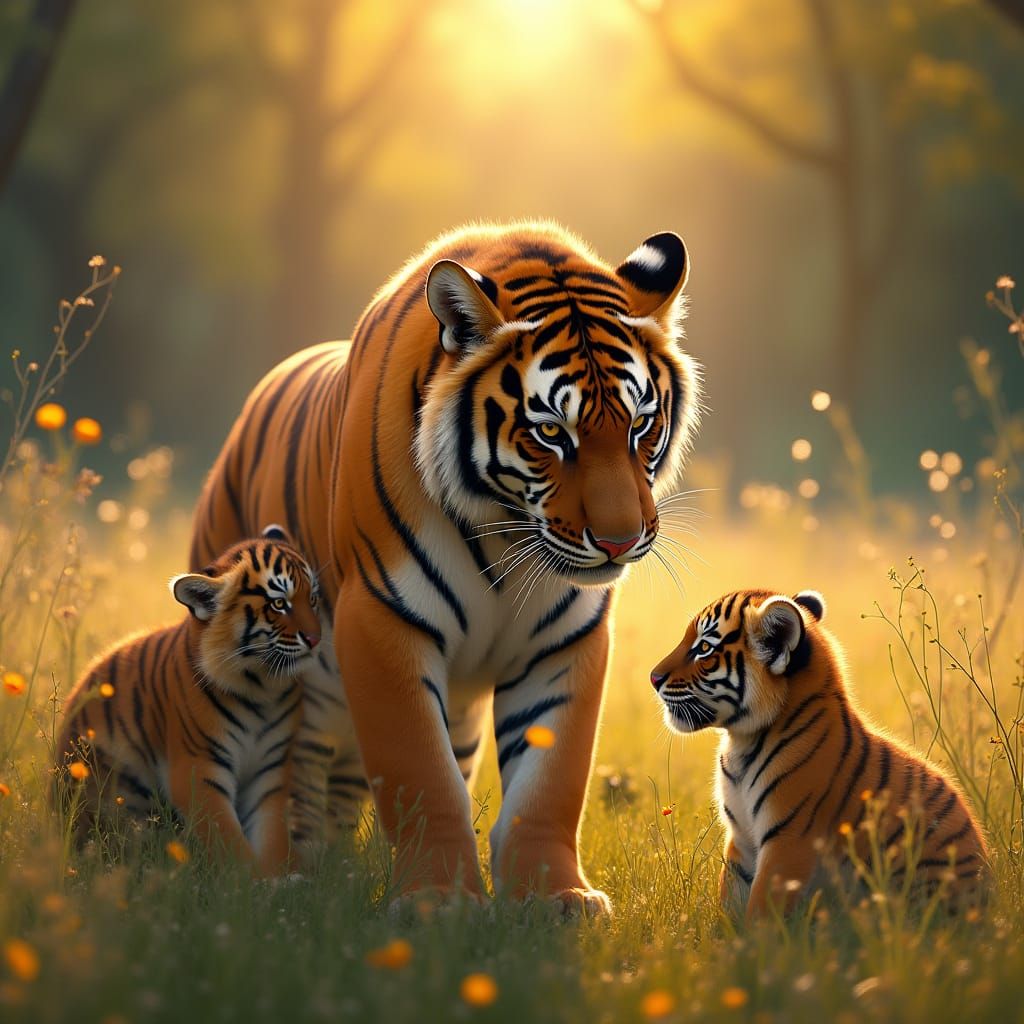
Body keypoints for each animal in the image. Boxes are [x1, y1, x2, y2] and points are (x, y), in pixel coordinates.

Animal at [54, 526, 322, 878]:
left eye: (313, 598)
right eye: (279, 604)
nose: (316, 639)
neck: (263, 688)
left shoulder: (272, 770)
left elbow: (273, 832)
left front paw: (283, 876)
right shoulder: (198, 769)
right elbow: (227, 838)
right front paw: (251, 882)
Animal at [188, 221, 702, 913]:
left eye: (641, 425)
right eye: (551, 433)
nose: (621, 542)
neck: (505, 537)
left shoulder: (565, 641)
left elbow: (551, 780)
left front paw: (555, 896)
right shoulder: (382, 621)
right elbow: (421, 775)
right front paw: (439, 900)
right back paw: (295, 874)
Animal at [649, 588, 989, 920]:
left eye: (704, 648)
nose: (653, 678)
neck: (741, 743)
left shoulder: (789, 840)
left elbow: (760, 913)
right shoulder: (741, 838)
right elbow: (730, 902)